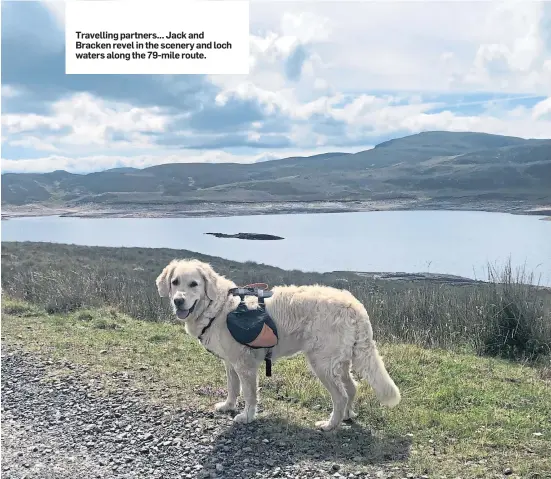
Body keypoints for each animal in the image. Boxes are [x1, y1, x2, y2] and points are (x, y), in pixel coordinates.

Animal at [155, 260, 402, 434]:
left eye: (194, 284)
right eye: (175, 282)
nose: (178, 300)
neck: (219, 307)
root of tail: (355, 305)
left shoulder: (244, 365)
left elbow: (249, 394)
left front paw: (246, 417)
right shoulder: (230, 363)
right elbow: (233, 388)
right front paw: (228, 406)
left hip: (321, 363)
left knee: (340, 396)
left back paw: (330, 424)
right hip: (339, 362)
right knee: (352, 388)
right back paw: (347, 416)